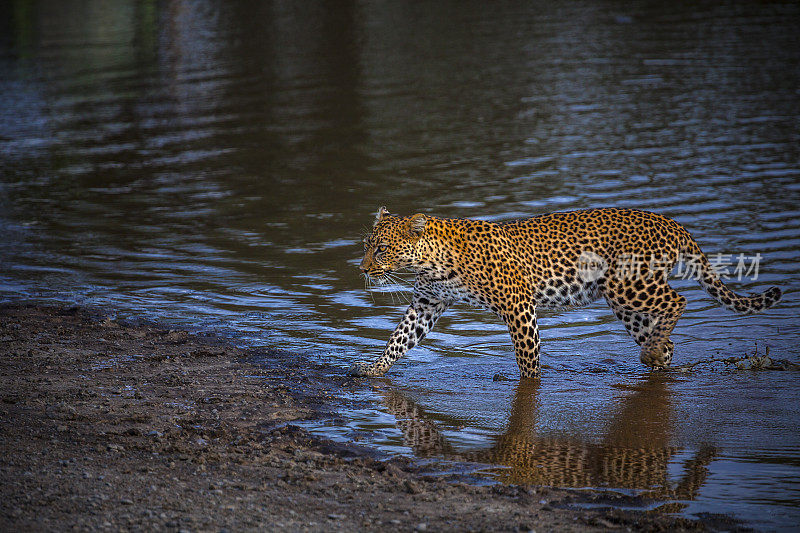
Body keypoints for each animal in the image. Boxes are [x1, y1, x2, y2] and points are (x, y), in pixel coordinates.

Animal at [350, 205, 780, 378]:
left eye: (382, 249)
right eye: (367, 245)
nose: (363, 269)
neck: (429, 261)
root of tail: (671, 222)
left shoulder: (517, 305)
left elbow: (528, 358)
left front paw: (529, 385)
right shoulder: (427, 303)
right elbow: (399, 338)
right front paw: (372, 369)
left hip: (629, 285)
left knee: (679, 300)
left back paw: (654, 353)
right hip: (624, 302)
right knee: (663, 334)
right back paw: (656, 355)